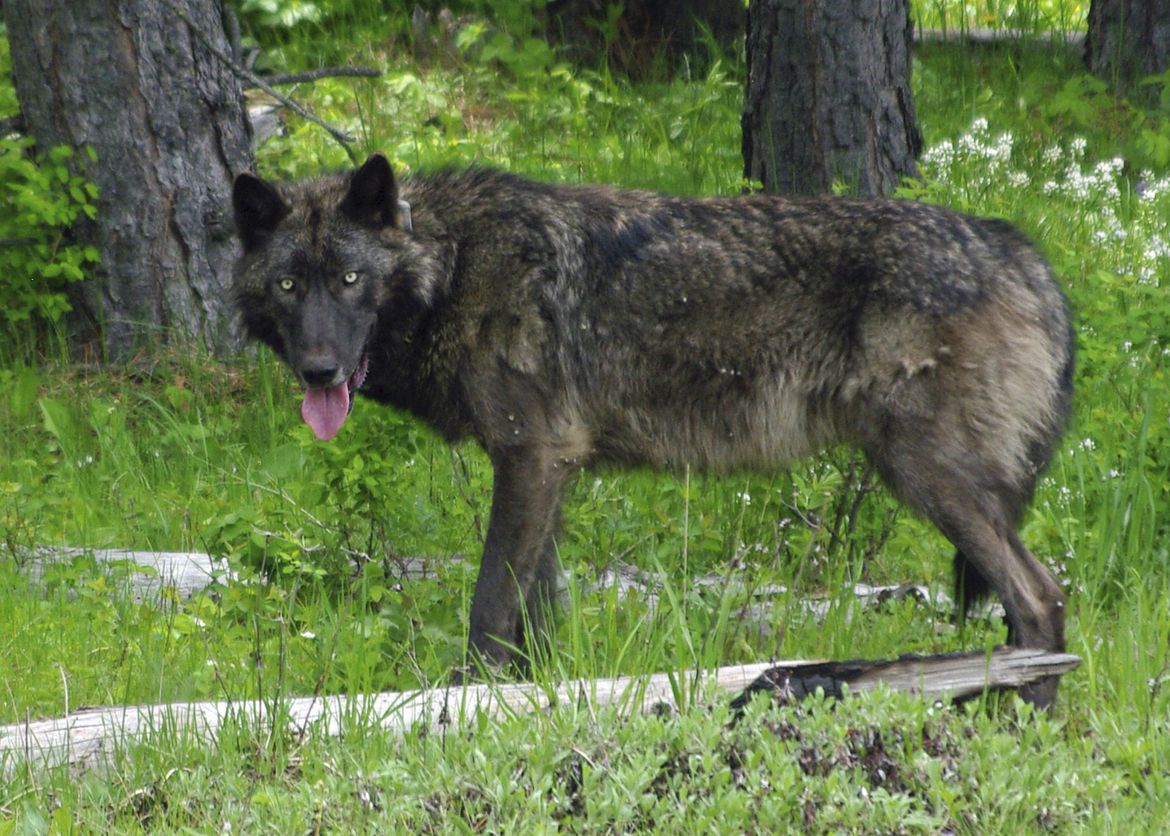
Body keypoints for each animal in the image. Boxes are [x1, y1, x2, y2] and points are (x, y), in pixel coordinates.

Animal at [232, 154, 1075, 706]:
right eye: (289, 284)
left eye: (350, 280)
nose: (318, 372)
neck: (456, 267)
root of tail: (1021, 250)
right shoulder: (548, 467)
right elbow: (537, 614)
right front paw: (526, 706)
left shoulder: (530, 456)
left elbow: (489, 605)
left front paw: (467, 701)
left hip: (924, 476)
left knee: (1041, 599)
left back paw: (1018, 730)